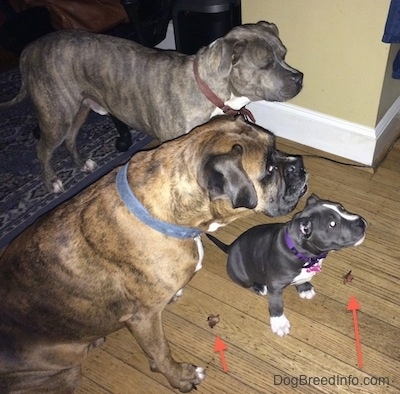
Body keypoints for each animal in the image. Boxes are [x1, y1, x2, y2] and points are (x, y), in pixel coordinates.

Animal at [0, 20, 302, 192]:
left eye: (284, 53)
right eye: (265, 64)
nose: (299, 77)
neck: (211, 93)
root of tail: (29, 50)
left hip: (80, 108)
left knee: (71, 139)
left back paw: (82, 163)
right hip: (57, 115)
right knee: (42, 149)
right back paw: (52, 182)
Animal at [0, 115, 308, 392]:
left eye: (276, 146)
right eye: (269, 169)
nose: (300, 165)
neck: (165, 215)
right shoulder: (143, 319)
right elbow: (160, 352)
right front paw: (181, 377)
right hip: (65, 375)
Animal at [208, 194, 368, 336]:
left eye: (342, 208)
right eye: (332, 224)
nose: (361, 221)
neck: (302, 253)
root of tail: (231, 246)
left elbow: (302, 280)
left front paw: (304, 288)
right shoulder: (275, 285)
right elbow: (276, 304)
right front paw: (279, 323)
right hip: (243, 276)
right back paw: (259, 287)